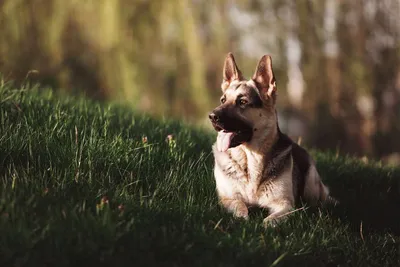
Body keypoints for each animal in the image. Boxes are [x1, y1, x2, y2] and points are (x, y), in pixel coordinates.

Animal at [208, 52, 332, 228]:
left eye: (242, 102)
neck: (251, 157)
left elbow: (270, 221)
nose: (212, 116)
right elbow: (240, 207)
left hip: (311, 186)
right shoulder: (227, 199)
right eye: (223, 100)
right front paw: (243, 220)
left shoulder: (285, 205)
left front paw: (262, 226)